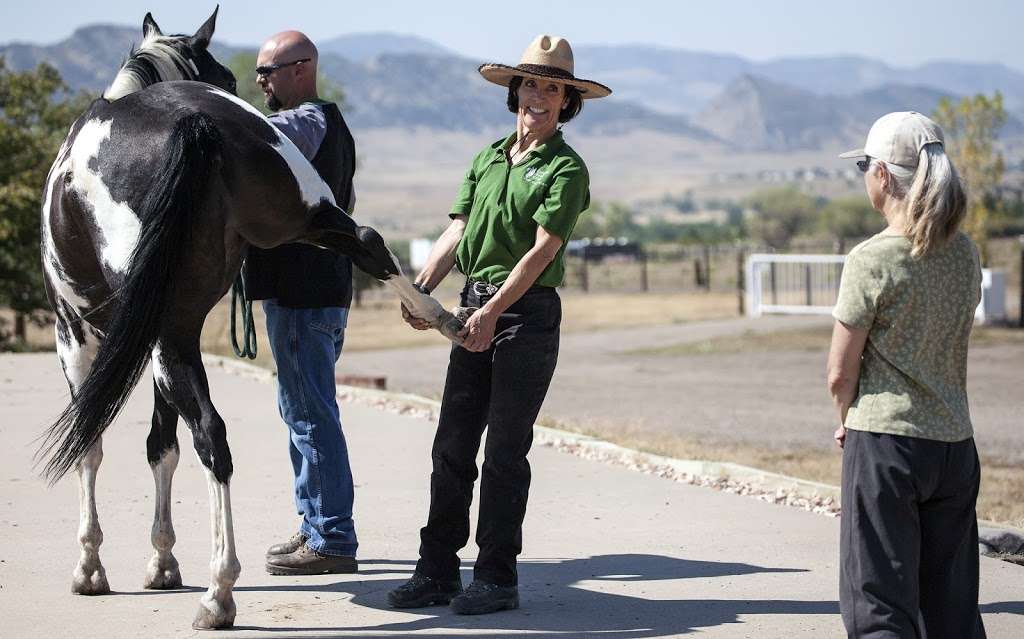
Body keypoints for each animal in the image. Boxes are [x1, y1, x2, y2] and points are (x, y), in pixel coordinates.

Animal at [37, 8, 458, 630]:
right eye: (232, 74)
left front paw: (90, 568)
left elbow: (91, 440)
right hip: (299, 222)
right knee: (366, 241)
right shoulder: (161, 340)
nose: (245, 87)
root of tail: (197, 125)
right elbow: (160, 445)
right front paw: (162, 562)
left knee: (212, 436)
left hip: (159, 337)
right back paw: (445, 319)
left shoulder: (78, 335)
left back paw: (219, 592)